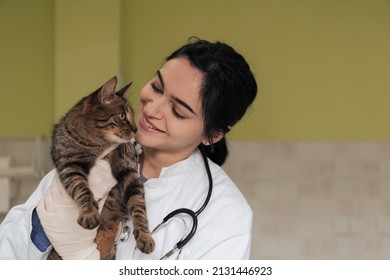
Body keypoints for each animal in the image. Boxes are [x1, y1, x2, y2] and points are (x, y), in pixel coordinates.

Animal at [47, 76, 154, 260]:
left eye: (133, 115)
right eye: (122, 115)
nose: (136, 130)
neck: (98, 145)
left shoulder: (128, 169)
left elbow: (138, 204)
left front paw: (145, 235)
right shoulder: (70, 166)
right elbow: (82, 190)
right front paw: (89, 213)